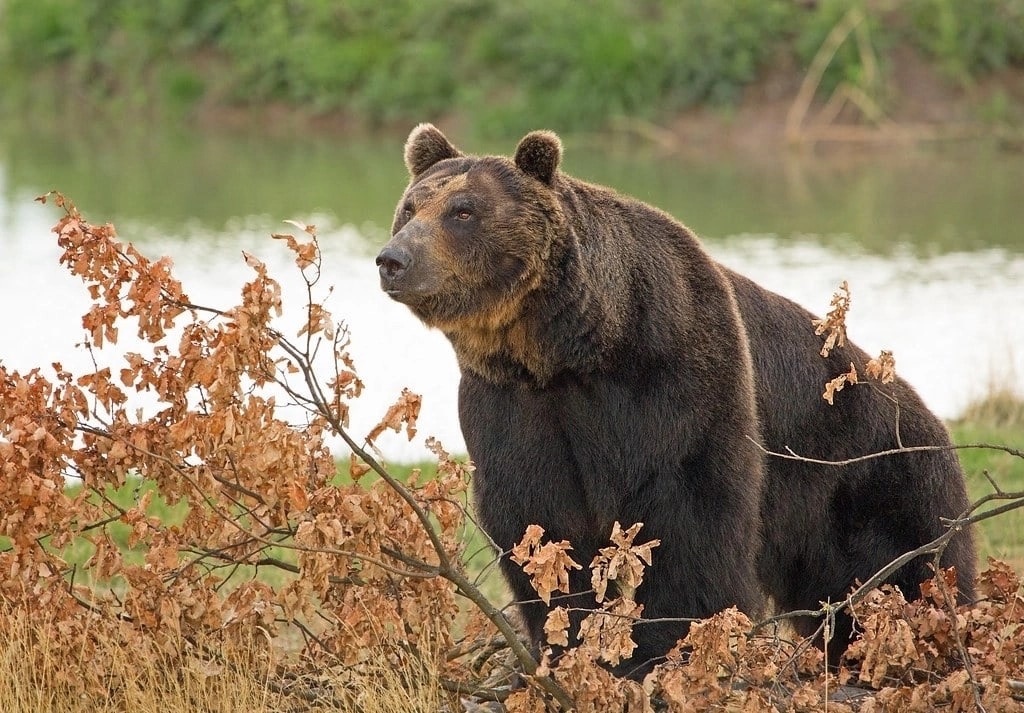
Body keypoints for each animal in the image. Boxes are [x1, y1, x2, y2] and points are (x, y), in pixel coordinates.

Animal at [376, 125, 974, 676]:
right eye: (409, 207)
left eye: (463, 211)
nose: (392, 259)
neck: (567, 351)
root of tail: (932, 421)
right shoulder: (512, 405)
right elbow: (541, 527)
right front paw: (571, 647)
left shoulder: (673, 377)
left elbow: (692, 525)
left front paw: (671, 651)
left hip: (879, 483)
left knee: (911, 576)